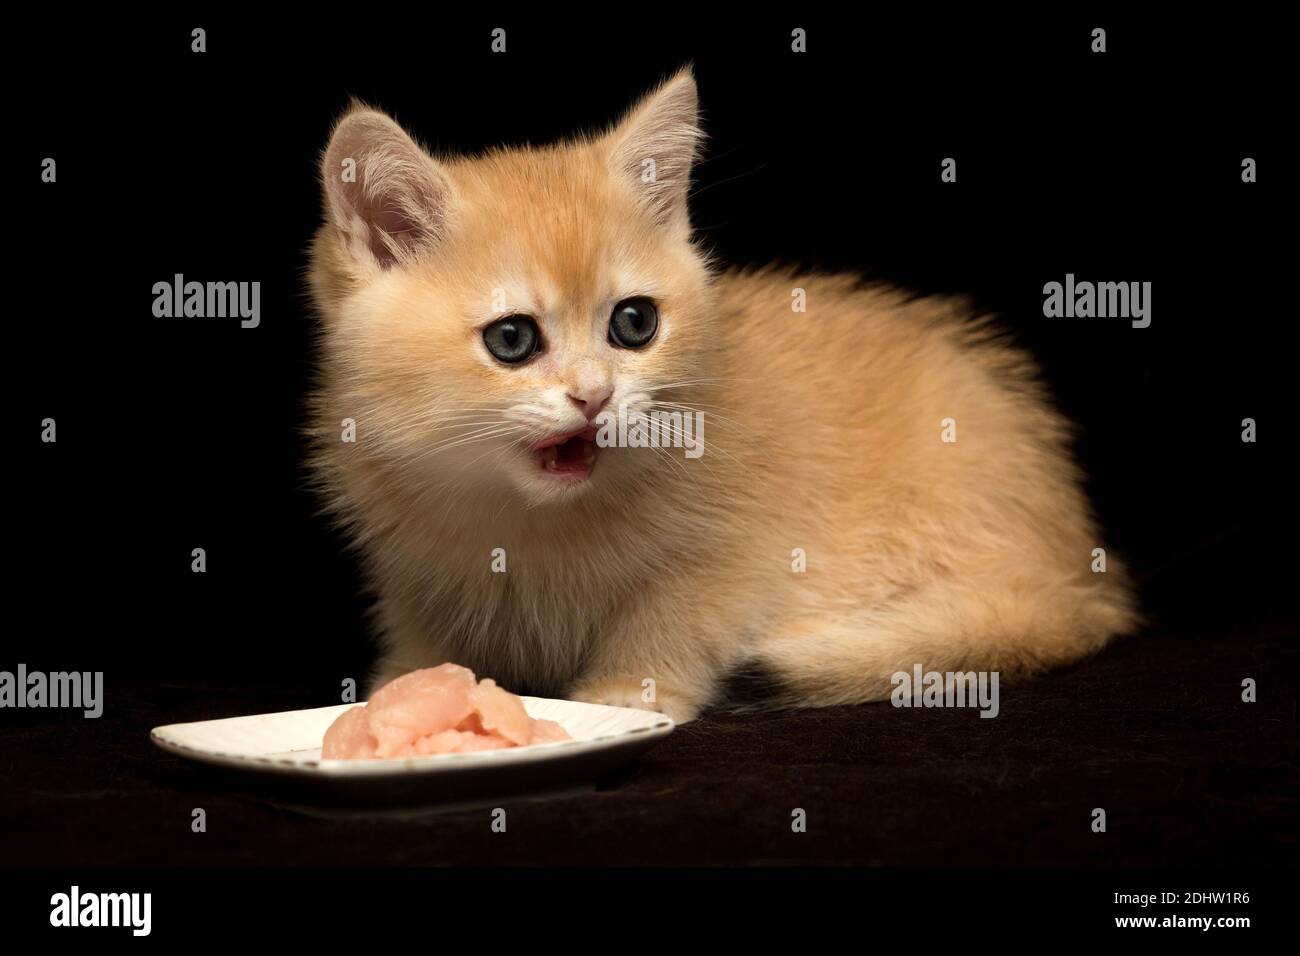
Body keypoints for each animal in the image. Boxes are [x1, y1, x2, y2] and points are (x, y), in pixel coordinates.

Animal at [306, 67, 1138, 723]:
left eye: (634, 323)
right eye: (512, 339)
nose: (595, 396)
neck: (529, 522)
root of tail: (1079, 576)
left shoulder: (740, 551)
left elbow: (681, 613)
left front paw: (629, 692)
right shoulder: (408, 566)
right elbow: (423, 630)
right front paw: (405, 689)